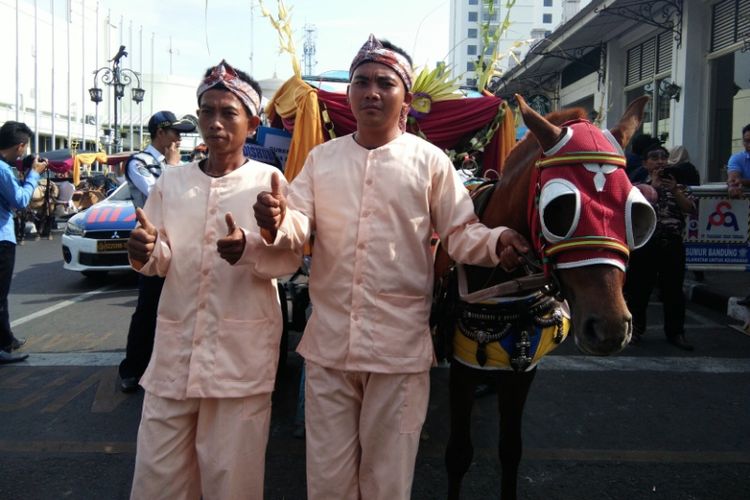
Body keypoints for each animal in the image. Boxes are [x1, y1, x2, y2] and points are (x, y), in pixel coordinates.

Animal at [438, 94, 660, 500]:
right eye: (560, 210)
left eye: (637, 212)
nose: (609, 328)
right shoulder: (461, 367)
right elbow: (459, 454)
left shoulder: (525, 368)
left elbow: (511, 449)